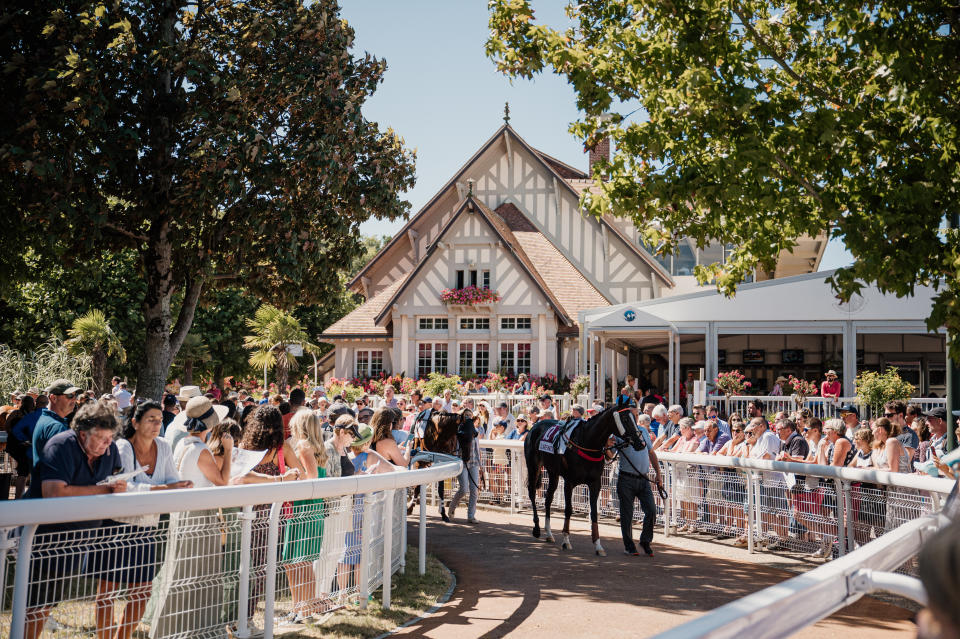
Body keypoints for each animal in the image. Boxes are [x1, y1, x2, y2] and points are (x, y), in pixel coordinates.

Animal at [524, 408, 644, 556]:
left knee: (548, 499)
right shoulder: (569, 482)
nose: (641, 443)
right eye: (626, 419)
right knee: (532, 492)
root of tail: (535, 426)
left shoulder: (595, 483)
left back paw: (549, 533)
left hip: (553, 473)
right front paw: (566, 541)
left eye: (634, 417)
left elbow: (594, 513)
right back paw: (536, 528)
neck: (587, 442)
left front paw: (598, 545)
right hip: (534, 466)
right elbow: (568, 510)